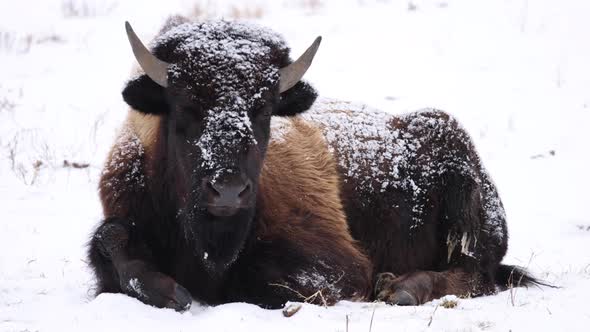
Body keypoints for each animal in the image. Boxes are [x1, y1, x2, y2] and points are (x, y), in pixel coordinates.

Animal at [89, 17, 544, 312]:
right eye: (186, 105)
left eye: (264, 109)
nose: (228, 190)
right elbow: (111, 240)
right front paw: (171, 292)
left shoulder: (336, 266)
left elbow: (261, 280)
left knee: (474, 274)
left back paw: (399, 289)